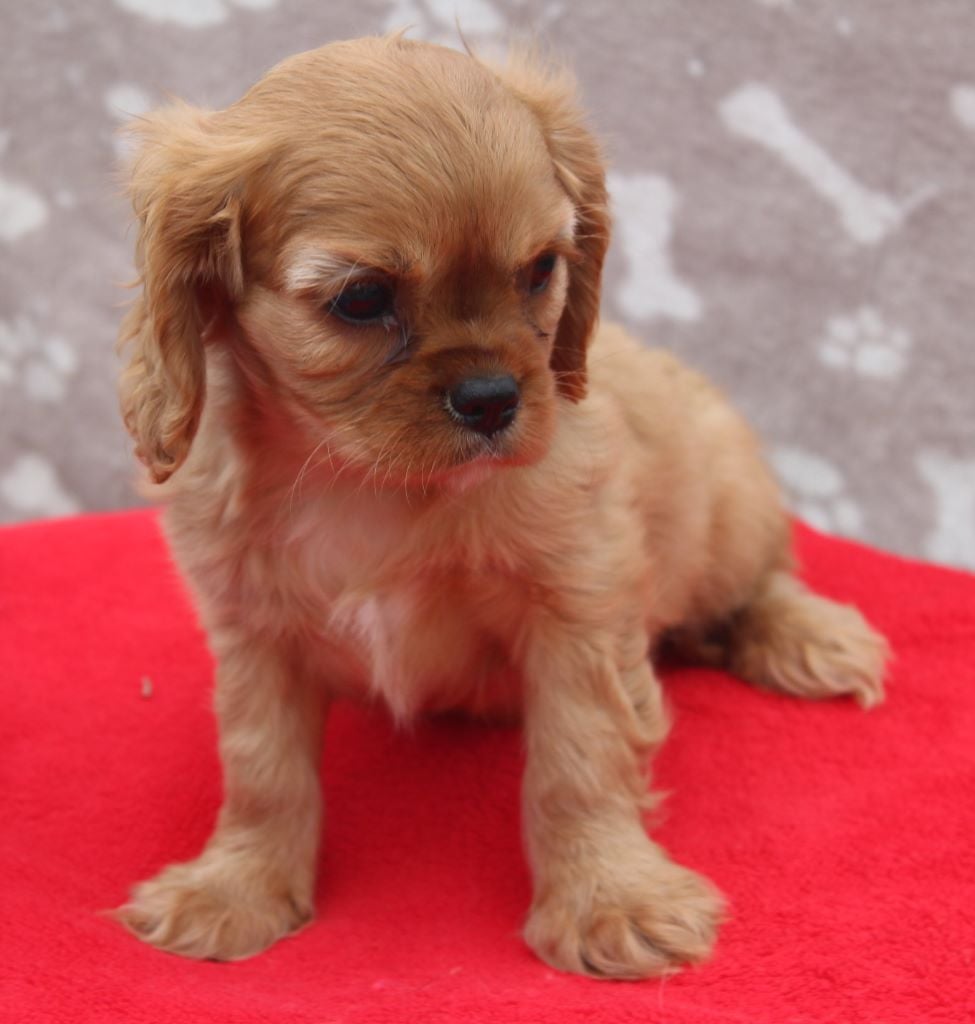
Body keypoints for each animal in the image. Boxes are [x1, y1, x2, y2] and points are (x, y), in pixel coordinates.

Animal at [115, 35, 888, 979]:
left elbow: (577, 761)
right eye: (361, 298)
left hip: (726, 510)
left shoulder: (577, 610)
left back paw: (812, 638)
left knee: (762, 579)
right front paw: (237, 890)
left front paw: (609, 900)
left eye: (541, 270)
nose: (491, 398)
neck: (367, 482)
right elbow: (263, 769)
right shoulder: (254, 629)